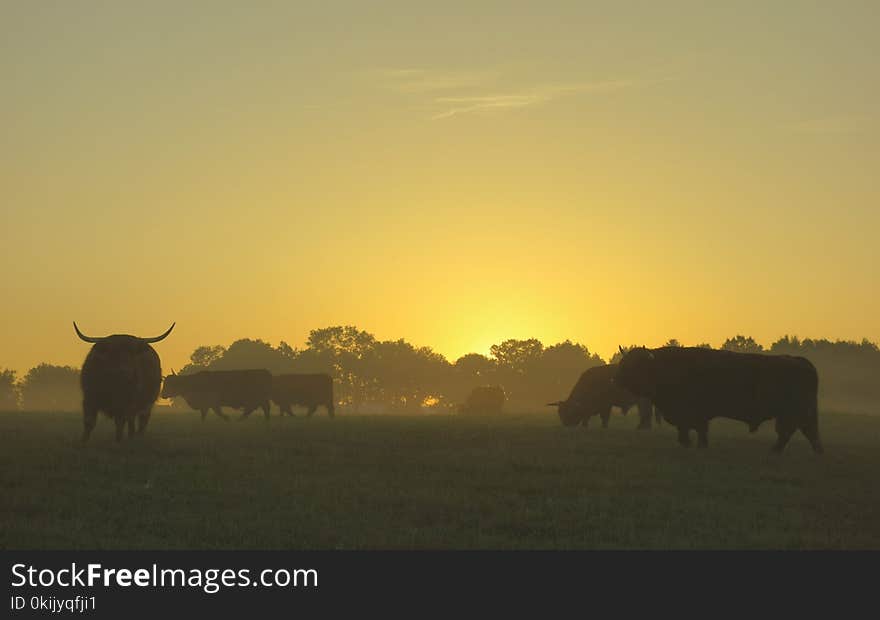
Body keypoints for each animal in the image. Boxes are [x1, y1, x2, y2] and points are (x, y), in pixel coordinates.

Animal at [616, 346, 820, 452]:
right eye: (624, 362)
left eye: (636, 364)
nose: (617, 378)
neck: (661, 366)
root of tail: (800, 361)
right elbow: (689, 429)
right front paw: (689, 444)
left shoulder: (695, 414)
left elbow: (697, 429)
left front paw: (695, 445)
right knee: (806, 431)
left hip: (793, 413)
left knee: (790, 431)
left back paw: (776, 450)